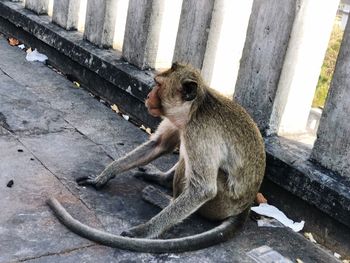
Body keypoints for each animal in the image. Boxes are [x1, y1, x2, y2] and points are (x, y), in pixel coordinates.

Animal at [46, 62, 266, 254]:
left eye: (158, 85)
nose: (148, 94)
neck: (194, 109)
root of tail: (244, 206)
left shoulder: (198, 132)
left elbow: (203, 190)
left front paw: (145, 230)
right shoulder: (178, 122)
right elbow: (159, 144)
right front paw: (105, 175)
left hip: (220, 204)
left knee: (190, 171)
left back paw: (161, 200)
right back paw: (161, 180)